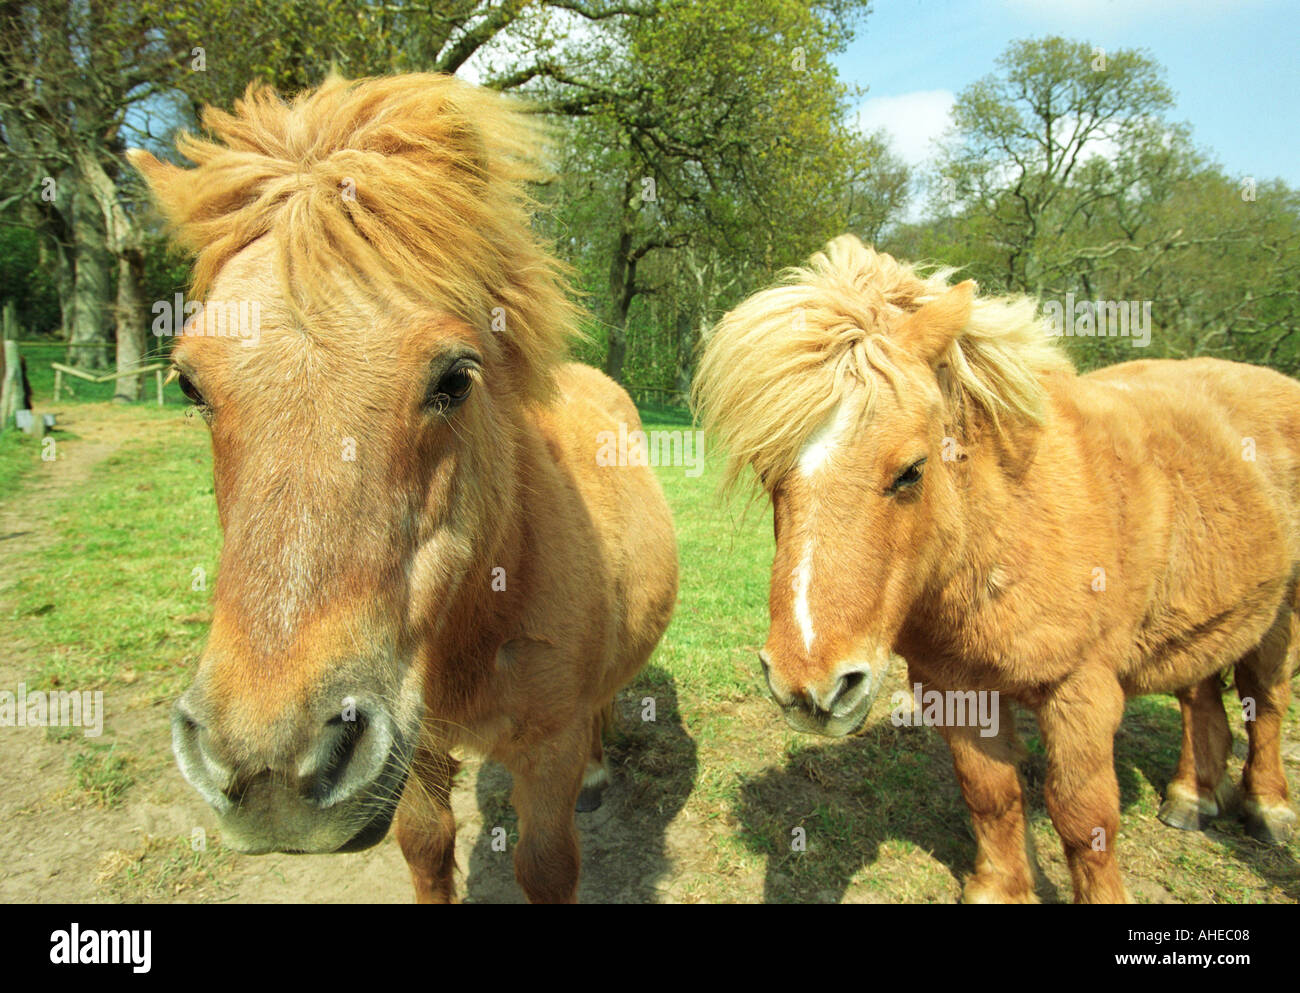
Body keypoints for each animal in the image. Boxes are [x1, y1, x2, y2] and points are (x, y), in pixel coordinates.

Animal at [128, 73, 678, 904]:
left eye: (455, 378)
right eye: (190, 385)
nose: (268, 769)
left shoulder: (545, 750)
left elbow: (546, 863)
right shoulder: (413, 745)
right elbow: (425, 841)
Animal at [693, 234, 1298, 903]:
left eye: (912, 471)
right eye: (768, 472)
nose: (808, 689)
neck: (1007, 528)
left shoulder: (1080, 692)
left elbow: (1084, 819)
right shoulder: (955, 686)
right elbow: (990, 793)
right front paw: (1003, 887)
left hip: (1281, 616)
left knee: (1265, 700)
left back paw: (1267, 808)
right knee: (1200, 694)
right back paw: (1193, 794)